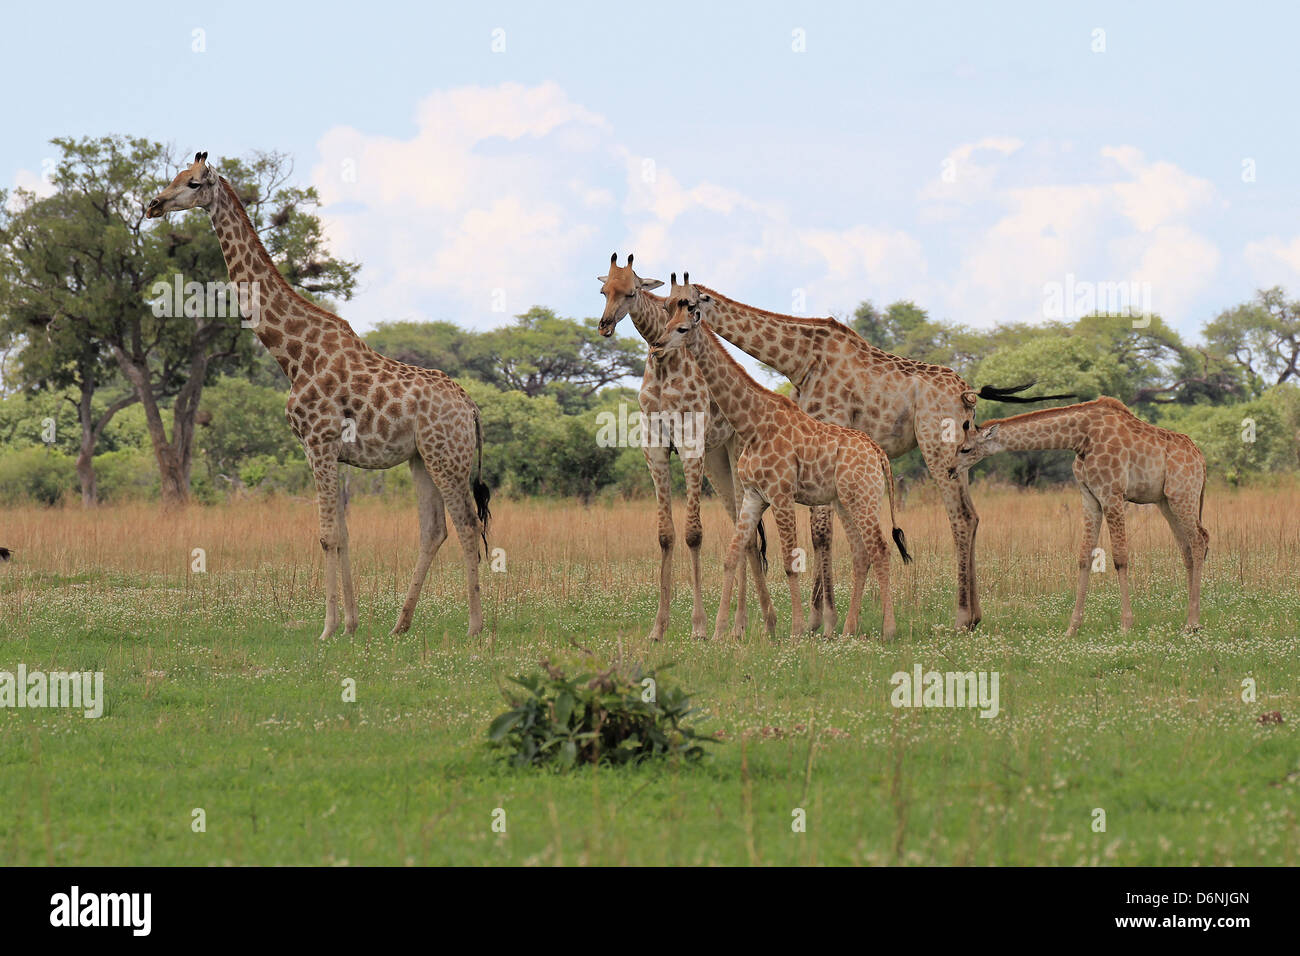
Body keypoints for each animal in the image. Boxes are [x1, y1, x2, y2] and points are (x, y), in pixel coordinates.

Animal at [146, 153, 491, 639]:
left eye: (193, 183)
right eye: (174, 177)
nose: (154, 205)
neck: (292, 355)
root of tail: (471, 407)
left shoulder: (319, 442)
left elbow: (327, 534)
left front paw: (327, 628)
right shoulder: (328, 450)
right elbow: (342, 533)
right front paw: (350, 623)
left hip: (447, 457)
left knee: (467, 523)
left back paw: (475, 627)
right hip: (421, 458)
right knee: (434, 529)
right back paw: (400, 624)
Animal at [595, 257, 774, 639]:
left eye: (631, 292)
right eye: (604, 291)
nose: (604, 325)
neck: (665, 367)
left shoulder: (691, 444)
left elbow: (694, 534)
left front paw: (700, 627)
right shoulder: (655, 448)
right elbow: (666, 535)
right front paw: (658, 628)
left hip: (736, 455)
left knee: (748, 536)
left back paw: (745, 624)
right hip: (718, 463)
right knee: (744, 533)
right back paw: (748, 624)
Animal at [681, 280, 1066, 632]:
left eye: (687, 304)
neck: (799, 358)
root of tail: (967, 393)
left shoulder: (829, 427)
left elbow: (821, 532)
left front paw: (821, 621)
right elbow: (823, 532)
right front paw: (823, 619)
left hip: (936, 444)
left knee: (959, 517)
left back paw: (959, 617)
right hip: (963, 452)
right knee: (972, 516)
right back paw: (974, 616)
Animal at [951, 395, 1211, 634]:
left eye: (965, 448)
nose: (951, 470)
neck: (1079, 438)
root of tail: (1202, 460)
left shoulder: (1112, 493)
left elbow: (1120, 557)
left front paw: (1126, 625)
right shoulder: (1090, 496)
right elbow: (1084, 557)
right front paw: (1072, 628)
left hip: (1182, 495)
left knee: (1200, 540)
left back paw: (1193, 623)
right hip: (1166, 502)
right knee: (1187, 548)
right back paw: (1189, 622)